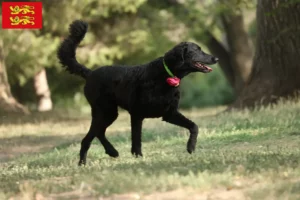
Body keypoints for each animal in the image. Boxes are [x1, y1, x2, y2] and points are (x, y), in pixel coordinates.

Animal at [57, 19, 219, 166]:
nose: (216, 58)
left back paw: (112, 151)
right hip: (105, 111)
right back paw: (83, 162)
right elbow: (136, 140)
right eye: (196, 50)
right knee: (88, 138)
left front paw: (191, 147)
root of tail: (90, 73)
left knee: (99, 132)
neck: (165, 75)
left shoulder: (169, 113)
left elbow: (194, 126)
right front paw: (138, 157)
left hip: (109, 113)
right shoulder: (137, 114)